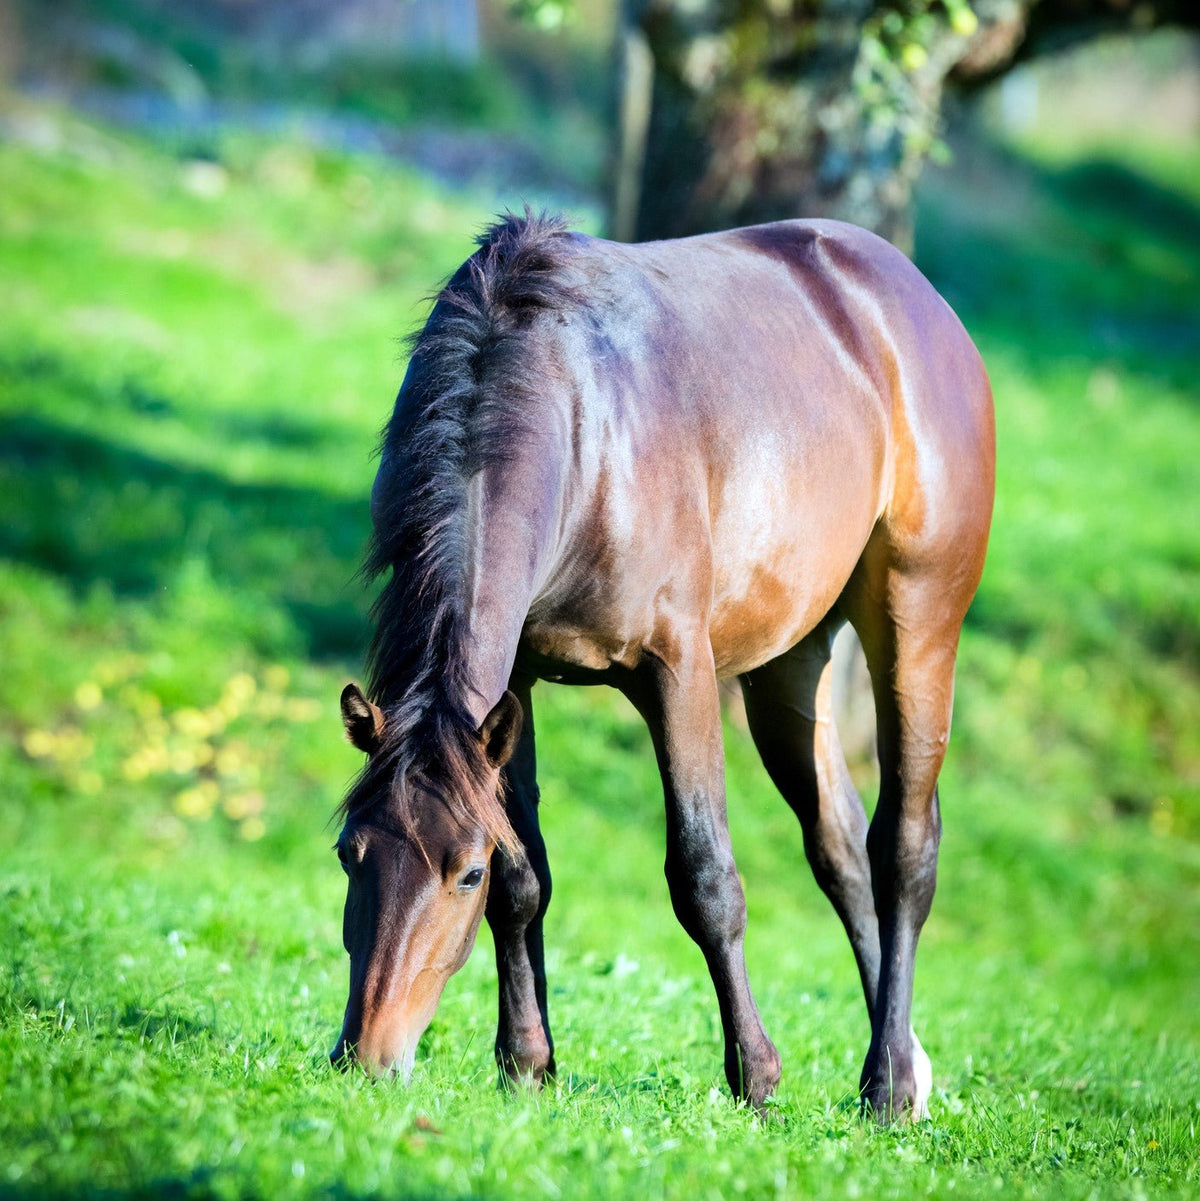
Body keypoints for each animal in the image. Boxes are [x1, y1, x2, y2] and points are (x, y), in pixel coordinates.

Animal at [329, 211, 995, 1121]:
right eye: (348, 854)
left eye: (460, 873)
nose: (365, 1057)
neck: (577, 426)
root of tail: (910, 294)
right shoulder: (510, 690)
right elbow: (525, 877)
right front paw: (527, 1061)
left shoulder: (677, 672)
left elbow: (705, 877)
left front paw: (756, 1074)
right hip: (790, 667)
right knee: (841, 848)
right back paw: (908, 1068)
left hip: (917, 624)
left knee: (903, 848)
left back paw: (889, 1081)